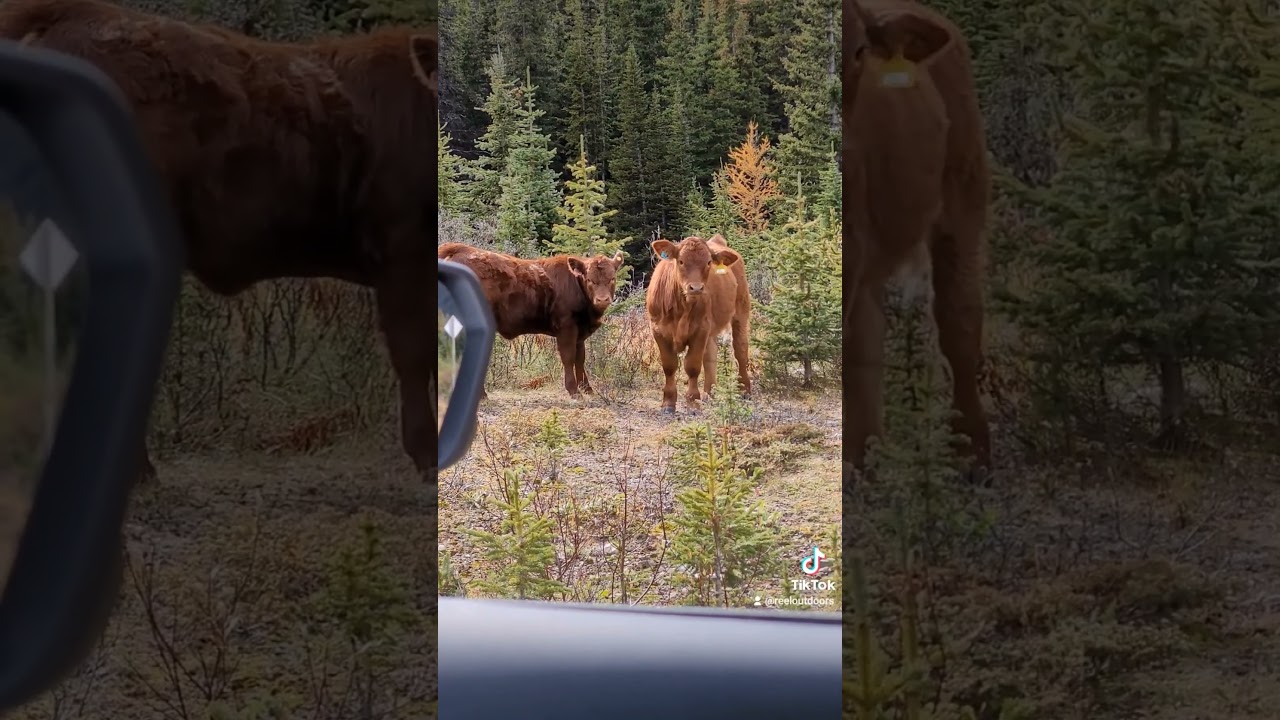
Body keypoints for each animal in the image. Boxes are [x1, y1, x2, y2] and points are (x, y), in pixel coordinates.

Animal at [437, 243, 625, 398]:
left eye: (612, 278)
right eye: (590, 280)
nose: (602, 300)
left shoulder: (580, 331)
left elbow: (580, 358)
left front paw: (587, 389)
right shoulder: (566, 328)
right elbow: (568, 357)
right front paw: (574, 390)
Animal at [645, 235, 751, 414]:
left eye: (708, 262)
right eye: (681, 261)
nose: (696, 288)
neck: (681, 307)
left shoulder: (700, 329)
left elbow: (693, 366)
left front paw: (693, 402)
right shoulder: (658, 330)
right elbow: (669, 366)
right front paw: (668, 403)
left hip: (741, 312)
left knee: (740, 349)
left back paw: (745, 391)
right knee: (711, 354)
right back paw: (709, 394)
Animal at [843, 0, 992, 485]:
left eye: (860, 50)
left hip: (964, 196)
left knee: (960, 319)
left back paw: (973, 454)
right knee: (870, 333)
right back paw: (866, 457)